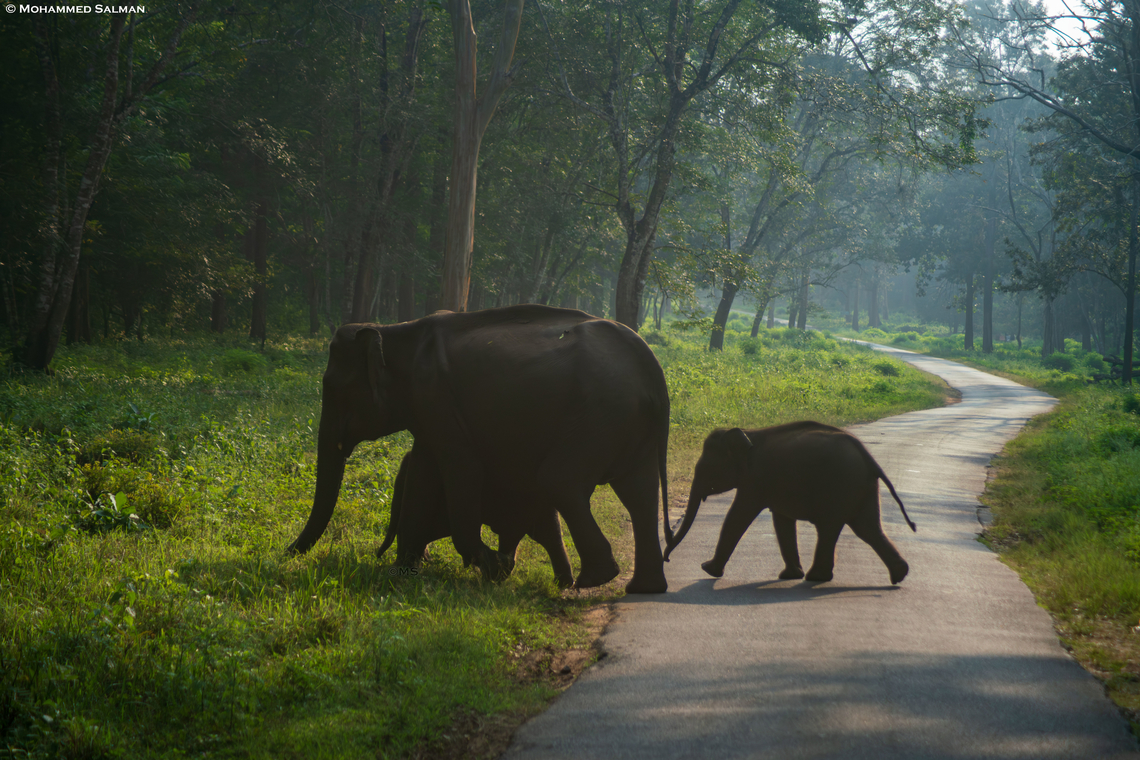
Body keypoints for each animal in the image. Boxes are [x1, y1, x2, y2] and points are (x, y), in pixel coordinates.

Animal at [663, 421, 916, 585]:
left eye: (706, 468)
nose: (666, 558)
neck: (747, 434)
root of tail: (869, 458)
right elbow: (781, 521)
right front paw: (789, 576)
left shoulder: (755, 479)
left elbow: (739, 515)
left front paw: (707, 570)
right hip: (861, 486)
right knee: (867, 528)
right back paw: (899, 575)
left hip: (840, 485)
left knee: (832, 528)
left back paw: (816, 577)